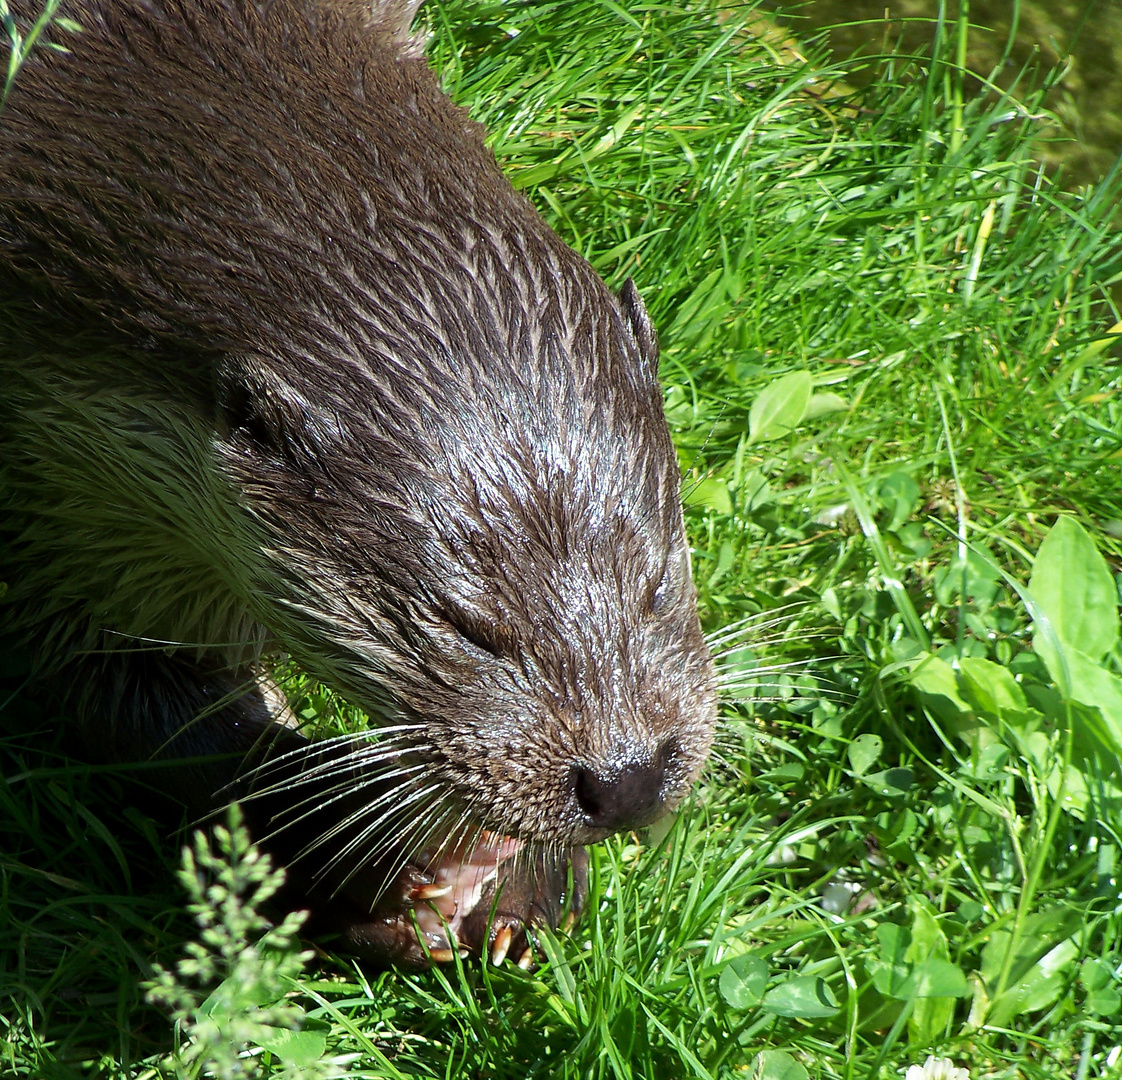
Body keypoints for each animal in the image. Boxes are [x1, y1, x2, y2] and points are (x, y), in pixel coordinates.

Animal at [0, 0, 718, 968]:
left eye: (656, 584)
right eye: (466, 629)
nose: (627, 777)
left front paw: (522, 883)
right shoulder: (56, 495)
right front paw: (350, 853)